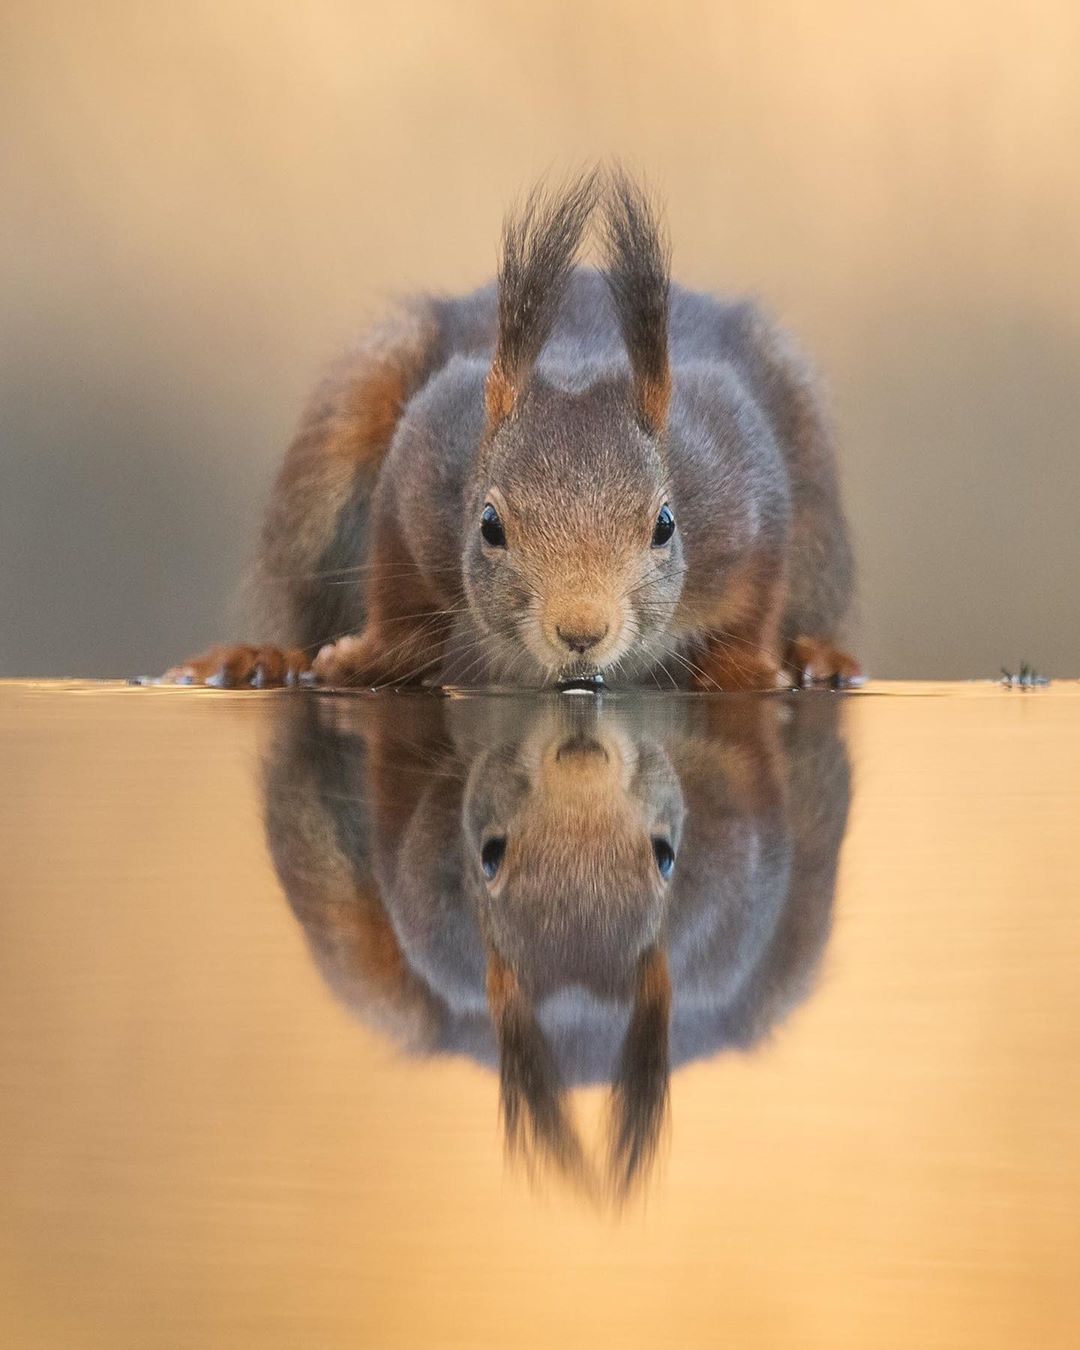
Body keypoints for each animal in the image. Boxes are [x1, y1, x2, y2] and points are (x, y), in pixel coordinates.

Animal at [168, 170, 858, 691]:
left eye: (665, 525)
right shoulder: (423, 461)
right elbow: (398, 599)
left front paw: (750, 670)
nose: (580, 632)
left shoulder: (742, 480)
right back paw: (262, 660)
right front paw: (367, 658)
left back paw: (819, 657)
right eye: (490, 526)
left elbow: (756, 603)